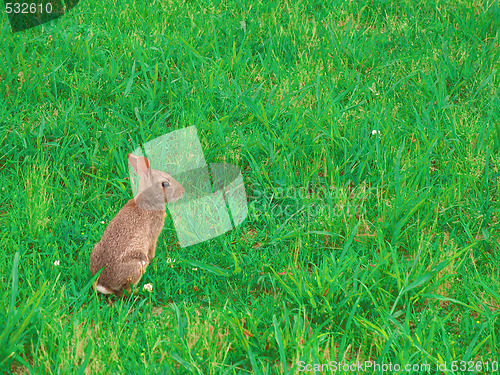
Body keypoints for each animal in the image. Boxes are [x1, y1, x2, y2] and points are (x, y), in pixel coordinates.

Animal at [89, 154, 185, 298]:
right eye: (165, 183)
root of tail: (104, 284)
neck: (149, 200)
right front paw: (154, 261)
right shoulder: (152, 236)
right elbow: (152, 250)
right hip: (137, 263)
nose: (182, 192)